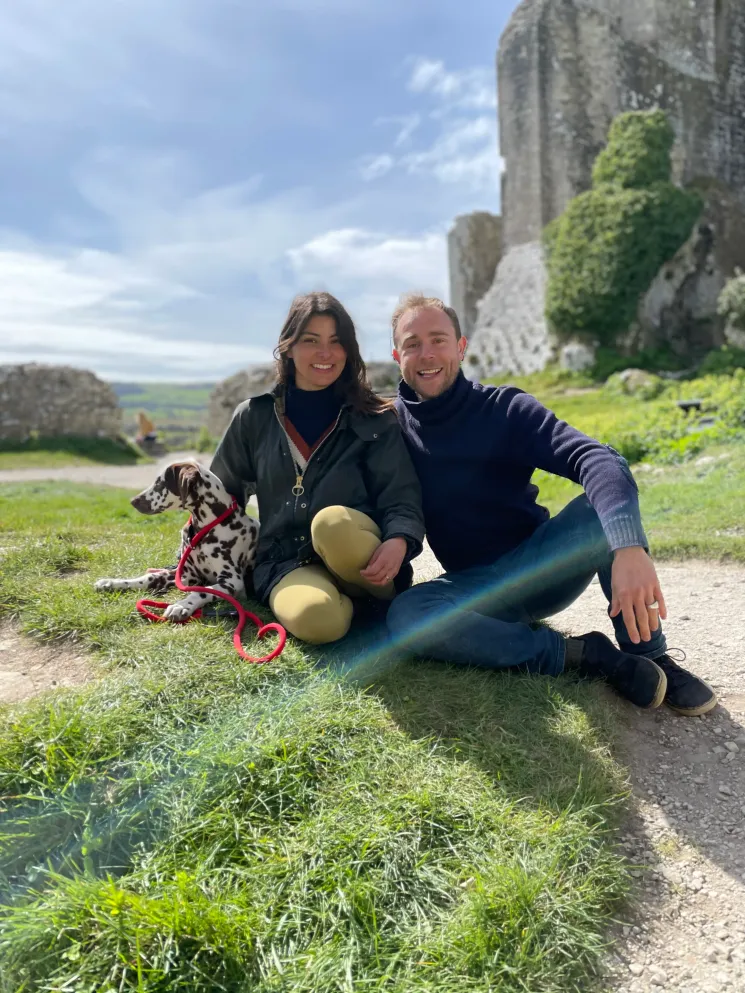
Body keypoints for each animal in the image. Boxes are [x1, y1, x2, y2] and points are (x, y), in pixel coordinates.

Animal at [93, 460, 258, 620]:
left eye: (160, 483)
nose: (133, 501)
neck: (205, 528)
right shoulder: (186, 574)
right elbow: (150, 577)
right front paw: (113, 582)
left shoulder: (231, 581)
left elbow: (202, 591)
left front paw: (181, 605)